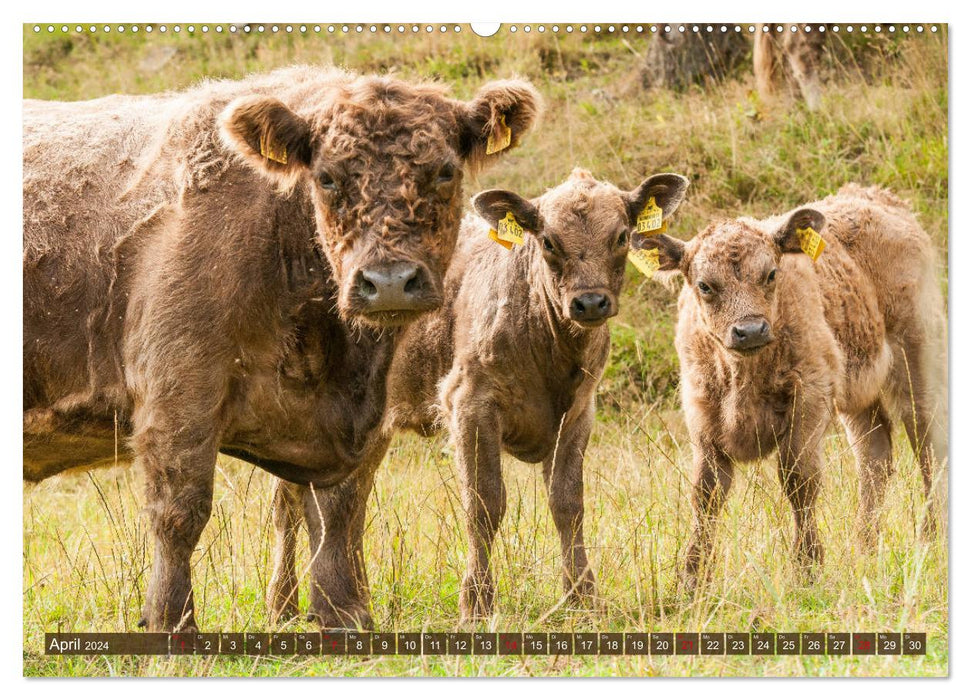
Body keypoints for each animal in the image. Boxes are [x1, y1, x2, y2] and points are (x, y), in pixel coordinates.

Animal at [24, 67, 540, 636]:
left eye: (445, 171)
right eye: (328, 178)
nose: (388, 282)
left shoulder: (355, 428)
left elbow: (339, 512)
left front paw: (344, 612)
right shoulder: (179, 391)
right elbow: (180, 511)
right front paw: (171, 620)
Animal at [266, 170, 692, 624]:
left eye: (622, 236)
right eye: (548, 241)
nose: (590, 302)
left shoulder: (579, 414)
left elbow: (568, 504)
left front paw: (582, 597)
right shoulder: (471, 404)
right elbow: (484, 504)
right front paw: (477, 603)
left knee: (350, 501)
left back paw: (353, 599)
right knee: (289, 503)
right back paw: (283, 603)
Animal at [640, 185, 952, 592]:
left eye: (771, 274)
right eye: (705, 285)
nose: (750, 330)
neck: (744, 375)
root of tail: (882, 200)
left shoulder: (810, 396)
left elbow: (798, 480)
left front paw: (807, 568)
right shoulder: (702, 412)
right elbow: (706, 492)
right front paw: (692, 579)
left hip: (919, 365)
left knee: (930, 446)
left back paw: (930, 540)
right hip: (857, 396)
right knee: (875, 454)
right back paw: (865, 548)